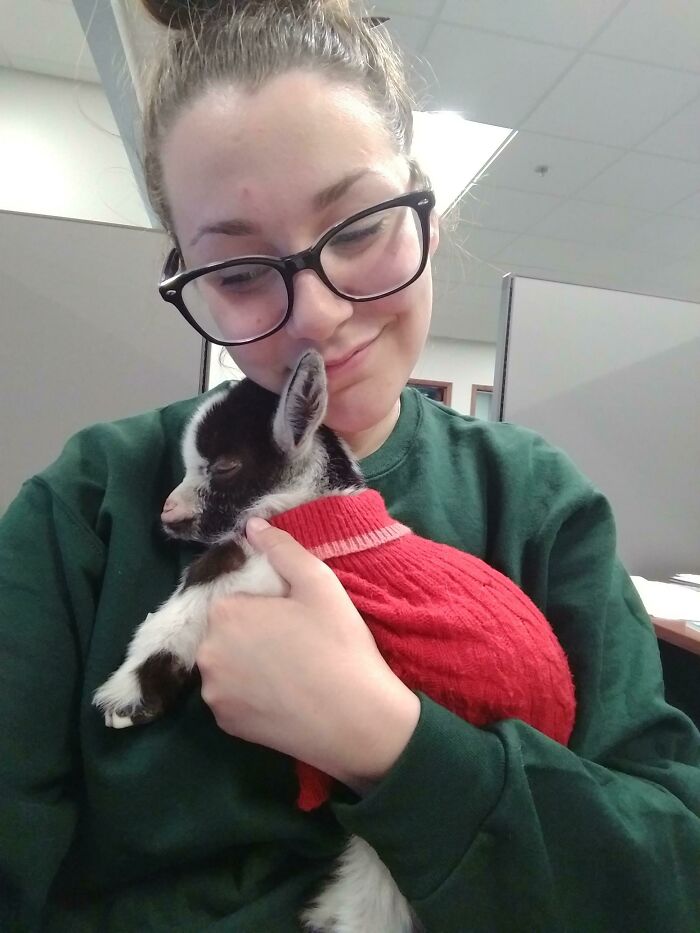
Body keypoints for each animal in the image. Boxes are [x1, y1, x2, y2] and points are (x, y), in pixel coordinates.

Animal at [93, 350, 576, 932]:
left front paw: (127, 697)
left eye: (227, 465)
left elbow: (202, 582)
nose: (168, 513)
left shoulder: (276, 566)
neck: (313, 509)